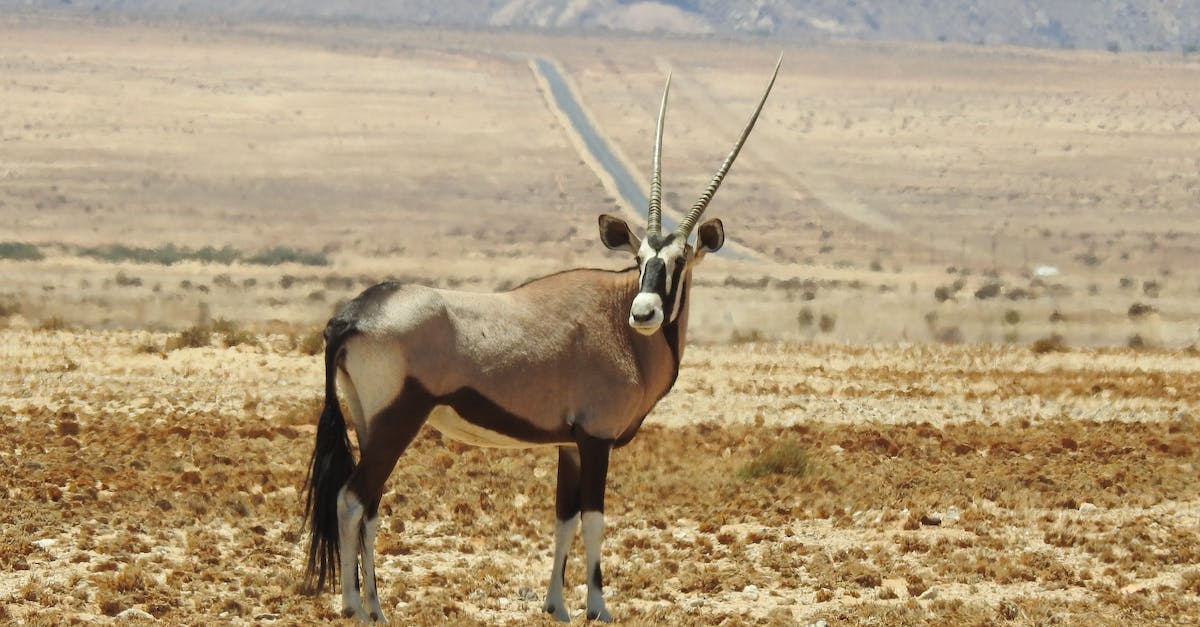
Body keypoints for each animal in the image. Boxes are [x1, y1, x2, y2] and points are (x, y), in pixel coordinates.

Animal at [304, 59, 780, 623]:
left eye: (678, 261)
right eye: (641, 258)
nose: (644, 312)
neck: (617, 324)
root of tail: (351, 316)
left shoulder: (568, 445)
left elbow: (562, 519)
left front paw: (556, 604)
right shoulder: (595, 439)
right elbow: (593, 519)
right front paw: (597, 605)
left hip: (368, 421)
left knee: (370, 505)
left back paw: (376, 605)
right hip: (398, 420)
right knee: (353, 498)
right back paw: (355, 604)